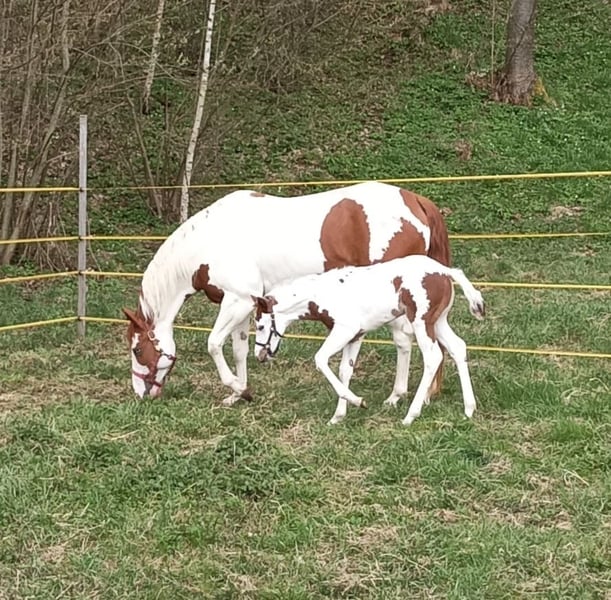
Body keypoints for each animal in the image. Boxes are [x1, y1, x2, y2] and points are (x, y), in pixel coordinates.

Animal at [123, 181, 451, 404]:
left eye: (137, 350)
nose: (140, 394)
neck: (209, 242)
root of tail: (416, 201)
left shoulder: (236, 301)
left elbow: (214, 344)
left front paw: (236, 387)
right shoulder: (245, 305)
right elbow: (240, 350)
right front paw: (241, 394)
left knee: (405, 341)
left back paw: (400, 396)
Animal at [254, 254, 485, 425]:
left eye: (260, 326)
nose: (259, 354)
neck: (323, 295)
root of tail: (445, 270)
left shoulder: (344, 331)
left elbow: (320, 359)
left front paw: (358, 401)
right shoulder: (356, 336)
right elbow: (344, 370)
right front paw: (338, 416)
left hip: (421, 323)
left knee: (433, 357)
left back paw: (410, 415)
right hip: (438, 322)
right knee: (458, 347)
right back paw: (469, 408)